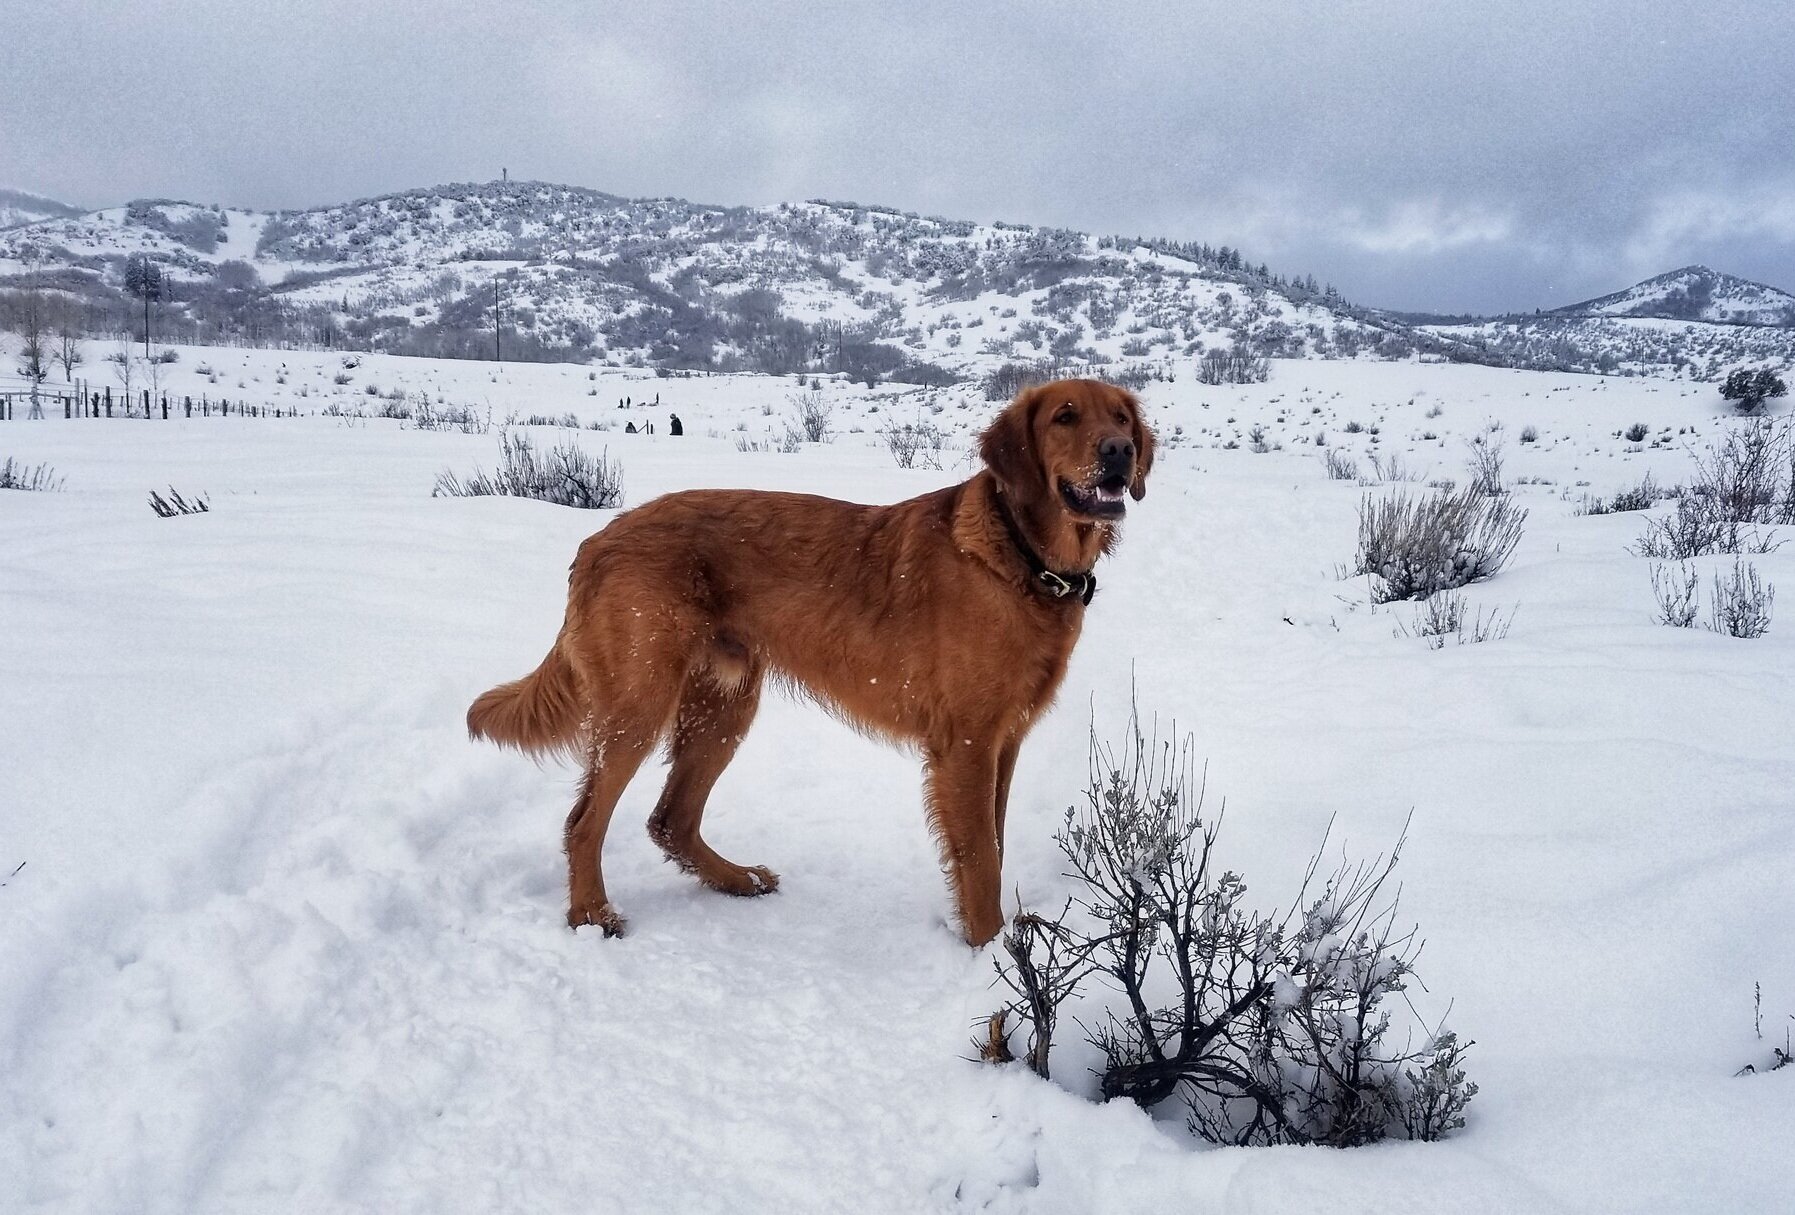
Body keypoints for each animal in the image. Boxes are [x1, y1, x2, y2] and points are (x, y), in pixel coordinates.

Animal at [470, 378, 1155, 947]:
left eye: (1121, 416)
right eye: (1065, 416)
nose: (1120, 450)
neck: (1022, 557)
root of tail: (596, 541)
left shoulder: (1002, 743)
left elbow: (996, 842)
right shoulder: (965, 745)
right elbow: (982, 860)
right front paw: (989, 960)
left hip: (725, 706)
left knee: (671, 819)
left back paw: (735, 879)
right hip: (640, 703)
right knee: (585, 820)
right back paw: (592, 917)